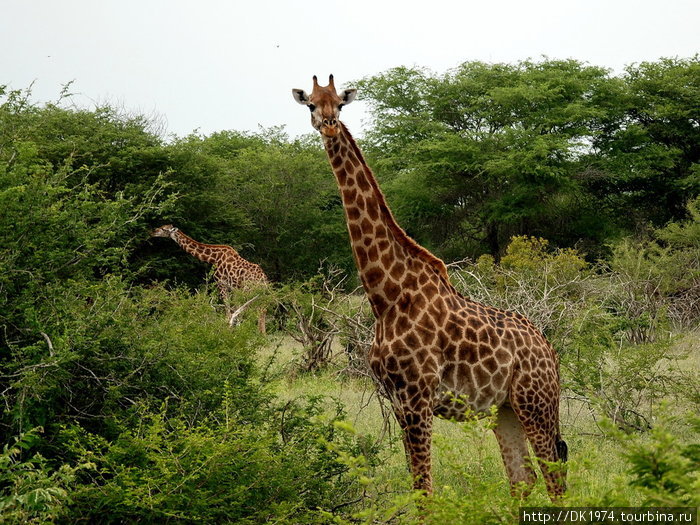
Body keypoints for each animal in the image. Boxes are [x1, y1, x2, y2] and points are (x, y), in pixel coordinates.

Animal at [292, 75, 568, 498]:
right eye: (311, 104)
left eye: (340, 103)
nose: (329, 125)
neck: (386, 296)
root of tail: (549, 350)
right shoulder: (396, 399)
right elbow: (416, 485)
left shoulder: (417, 397)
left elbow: (425, 491)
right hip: (504, 409)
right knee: (523, 479)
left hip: (536, 402)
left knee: (555, 480)